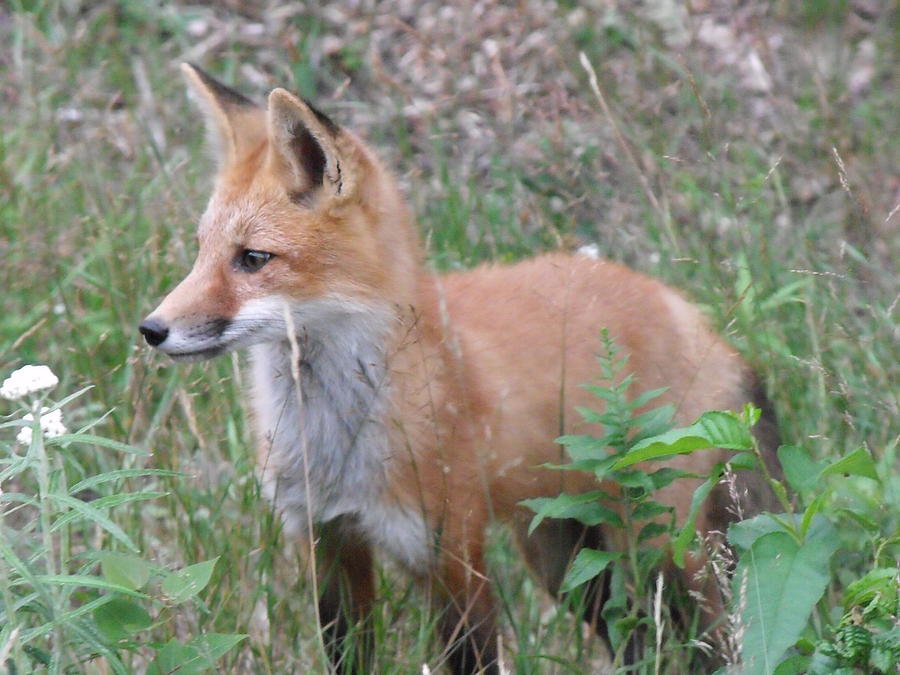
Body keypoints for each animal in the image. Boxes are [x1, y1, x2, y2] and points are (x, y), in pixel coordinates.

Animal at [142, 64, 780, 675]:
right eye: (200, 250)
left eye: (253, 259)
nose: (151, 329)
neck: (336, 444)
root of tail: (692, 316)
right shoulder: (327, 545)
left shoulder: (450, 553)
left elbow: (475, 657)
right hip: (567, 562)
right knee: (638, 641)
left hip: (659, 545)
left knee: (718, 638)